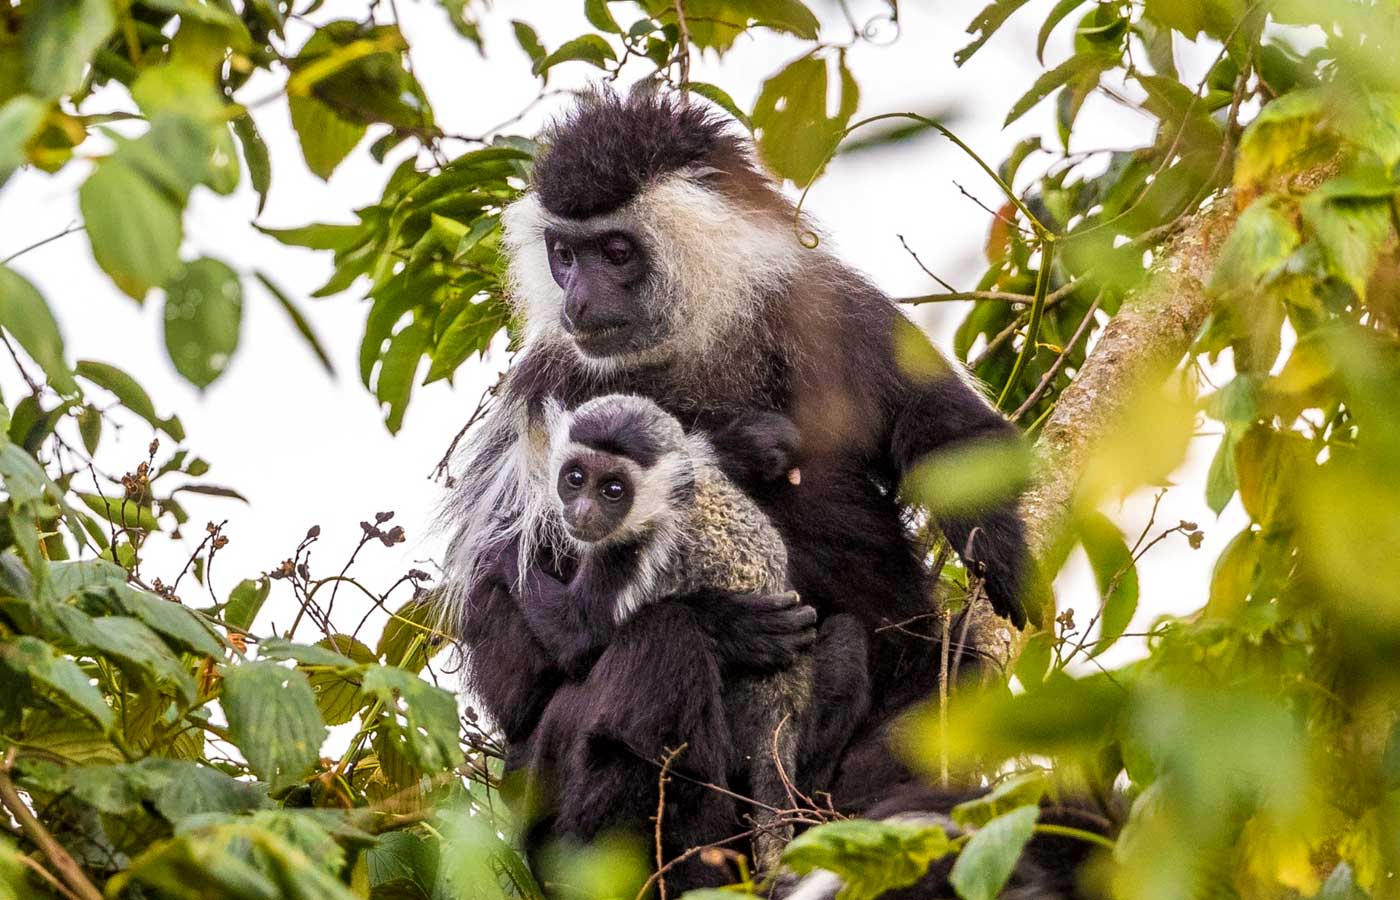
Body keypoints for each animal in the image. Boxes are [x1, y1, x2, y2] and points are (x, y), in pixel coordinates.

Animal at [534, 394, 862, 873]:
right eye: (575, 479)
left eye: (613, 489)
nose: (580, 512)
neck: (675, 494)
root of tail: (776, 720)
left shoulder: (634, 551)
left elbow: (576, 637)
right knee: (848, 635)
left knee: (665, 633)